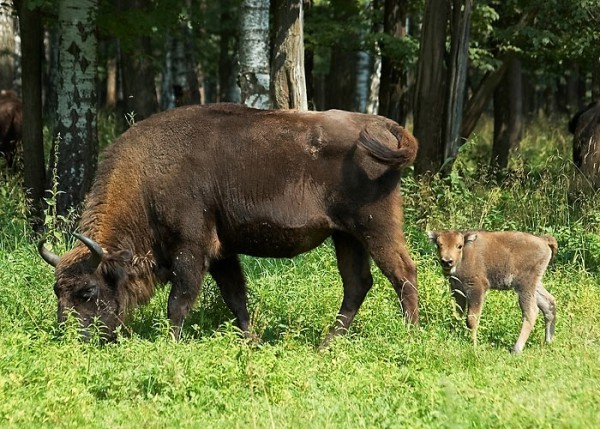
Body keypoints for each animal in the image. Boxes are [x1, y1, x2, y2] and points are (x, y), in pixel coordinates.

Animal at [38, 103, 422, 344]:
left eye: (88, 291)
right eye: (57, 290)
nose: (69, 337)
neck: (147, 179)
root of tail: (384, 126)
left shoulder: (191, 249)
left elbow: (179, 301)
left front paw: (169, 343)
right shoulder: (222, 253)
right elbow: (236, 298)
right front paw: (252, 342)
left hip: (375, 227)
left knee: (403, 273)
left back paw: (410, 336)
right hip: (346, 237)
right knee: (358, 284)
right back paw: (326, 343)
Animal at [426, 229, 556, 352]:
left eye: (459, 246)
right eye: (439, 245)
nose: (447, 261)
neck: (464, 256)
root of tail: (543, 241)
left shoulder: (476, 289)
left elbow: (471, 319)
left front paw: (473, 345)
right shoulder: (457, 290)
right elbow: (457, 314)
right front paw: (452, 336)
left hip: (525, 286)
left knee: (531, 311)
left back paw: (516, 349)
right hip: (535, 285)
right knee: (549, 303)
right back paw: (548, 341)